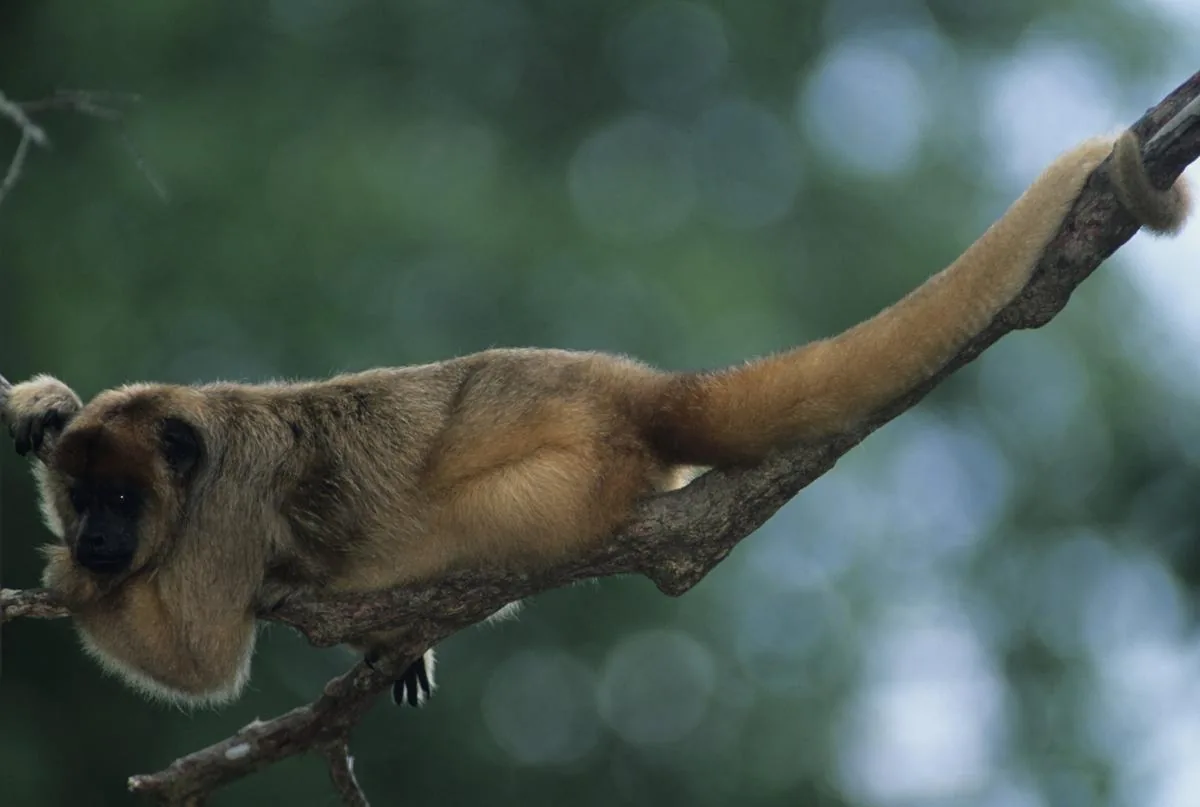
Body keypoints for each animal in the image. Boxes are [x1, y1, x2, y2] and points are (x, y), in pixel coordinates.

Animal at [1, 128, 1189, 710]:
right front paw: (40, 414)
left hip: (564, 484)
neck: (193, 454)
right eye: (83, 494)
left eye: (122, 499)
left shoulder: (227, 511)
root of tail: (623, 382)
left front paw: (61, 578)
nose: (93, 536)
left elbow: (202, 658)